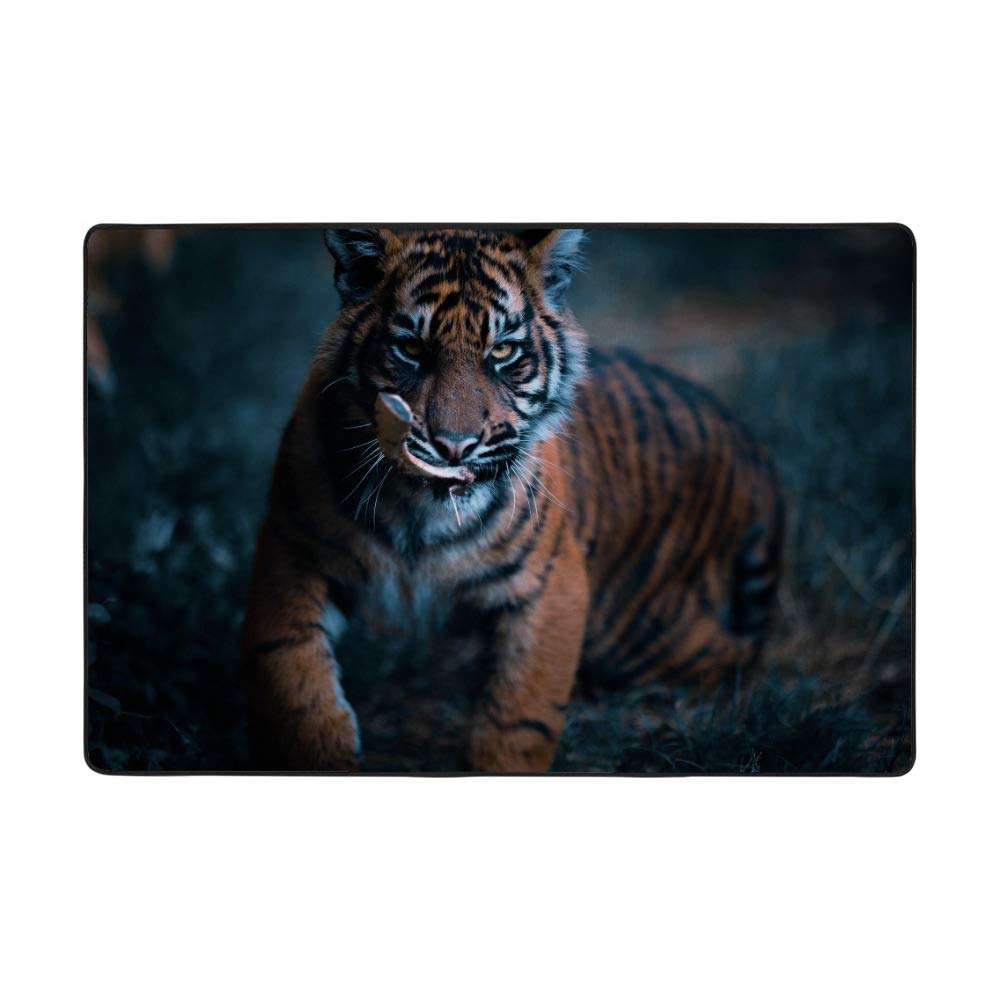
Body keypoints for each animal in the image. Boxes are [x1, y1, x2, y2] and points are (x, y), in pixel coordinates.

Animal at [241, 228, 783, 772]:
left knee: (738, 653)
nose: (453, 445)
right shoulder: (295, 548)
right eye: (411, 347)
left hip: (638, 629)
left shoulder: (550, 584)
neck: (419, 511)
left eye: (502, 351)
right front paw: (321, 749)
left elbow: (519, 715)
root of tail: (747, 444)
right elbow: (290, 664)